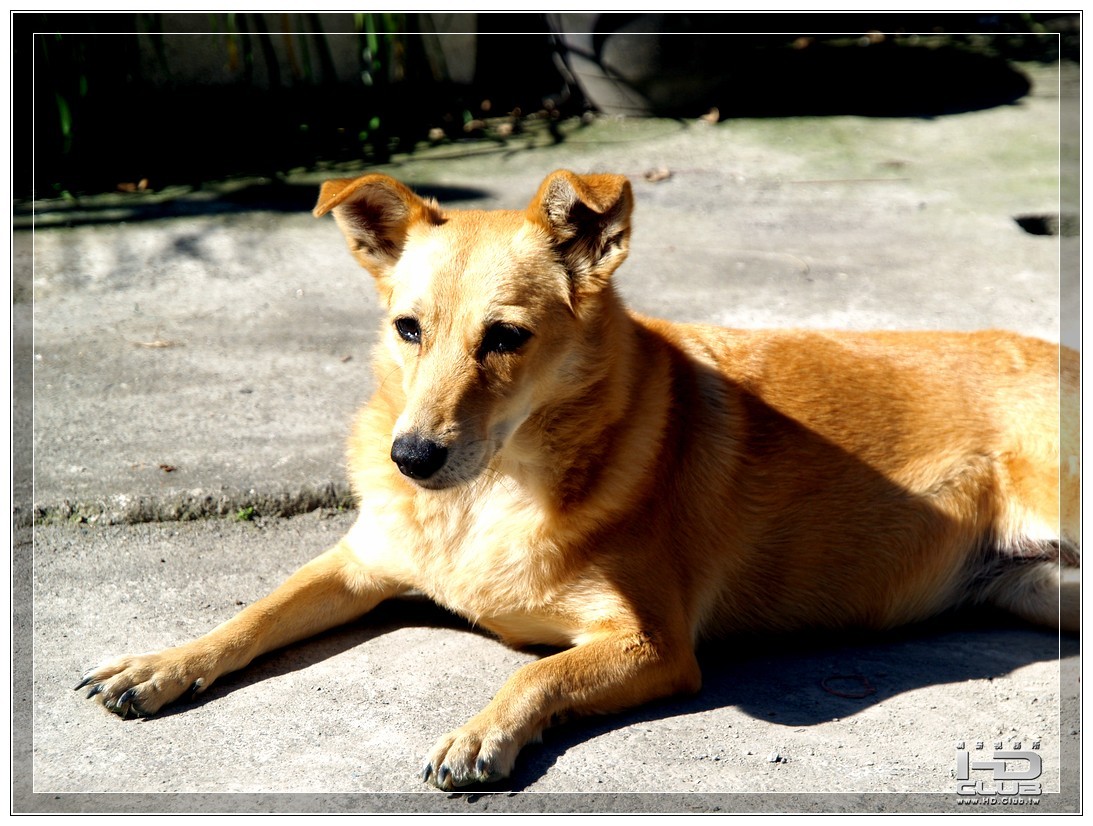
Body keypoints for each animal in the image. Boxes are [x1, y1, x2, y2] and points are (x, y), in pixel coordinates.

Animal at [79, 169, 1079, 790]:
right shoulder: (358, 566)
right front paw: (162, 664)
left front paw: (482, 730)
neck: (488, 494)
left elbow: (539, 675)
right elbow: (250, 616)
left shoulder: (652, 645)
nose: (411, 459)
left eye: (505, 338)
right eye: (408, 329)